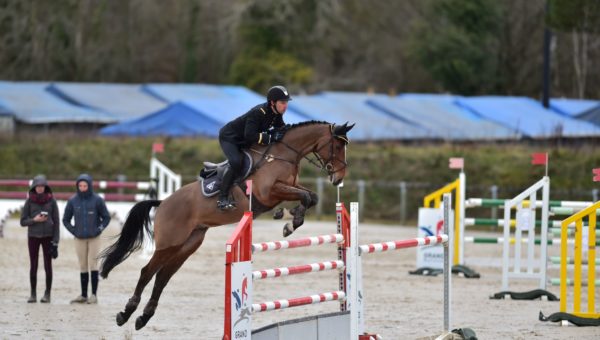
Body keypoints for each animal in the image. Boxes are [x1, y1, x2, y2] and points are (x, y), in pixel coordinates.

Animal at [97, 121, 352, 330]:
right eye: (337, 146)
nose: (339, 178)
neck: (283, 155)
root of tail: (164, 202)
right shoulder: (269, 191)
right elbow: (306, 197)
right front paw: (291, 221)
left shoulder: (287, 188)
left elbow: (311, 197)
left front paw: (289, 218)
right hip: (169, 243)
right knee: (147, 272)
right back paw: (126, 313)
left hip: (188, 245)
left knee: (162, 277)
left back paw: (144, 317)